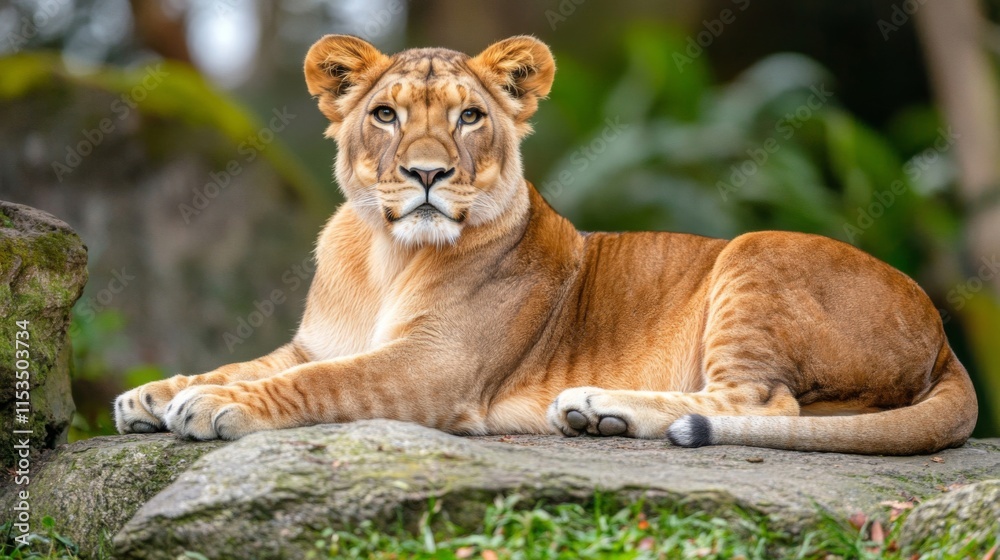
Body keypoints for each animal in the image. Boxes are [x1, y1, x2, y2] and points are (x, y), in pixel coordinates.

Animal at [114, 35, 978, 455]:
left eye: (469, 117)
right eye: (386, 115)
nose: (426, 173)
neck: (384, 256)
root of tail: (942, 333)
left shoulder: (433, 369)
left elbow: (316, 384)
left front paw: (215, 406)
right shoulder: (316, 340)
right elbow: (251, 362)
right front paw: (155, 393)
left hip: (755, 251)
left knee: (762, 402)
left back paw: (595, 406)